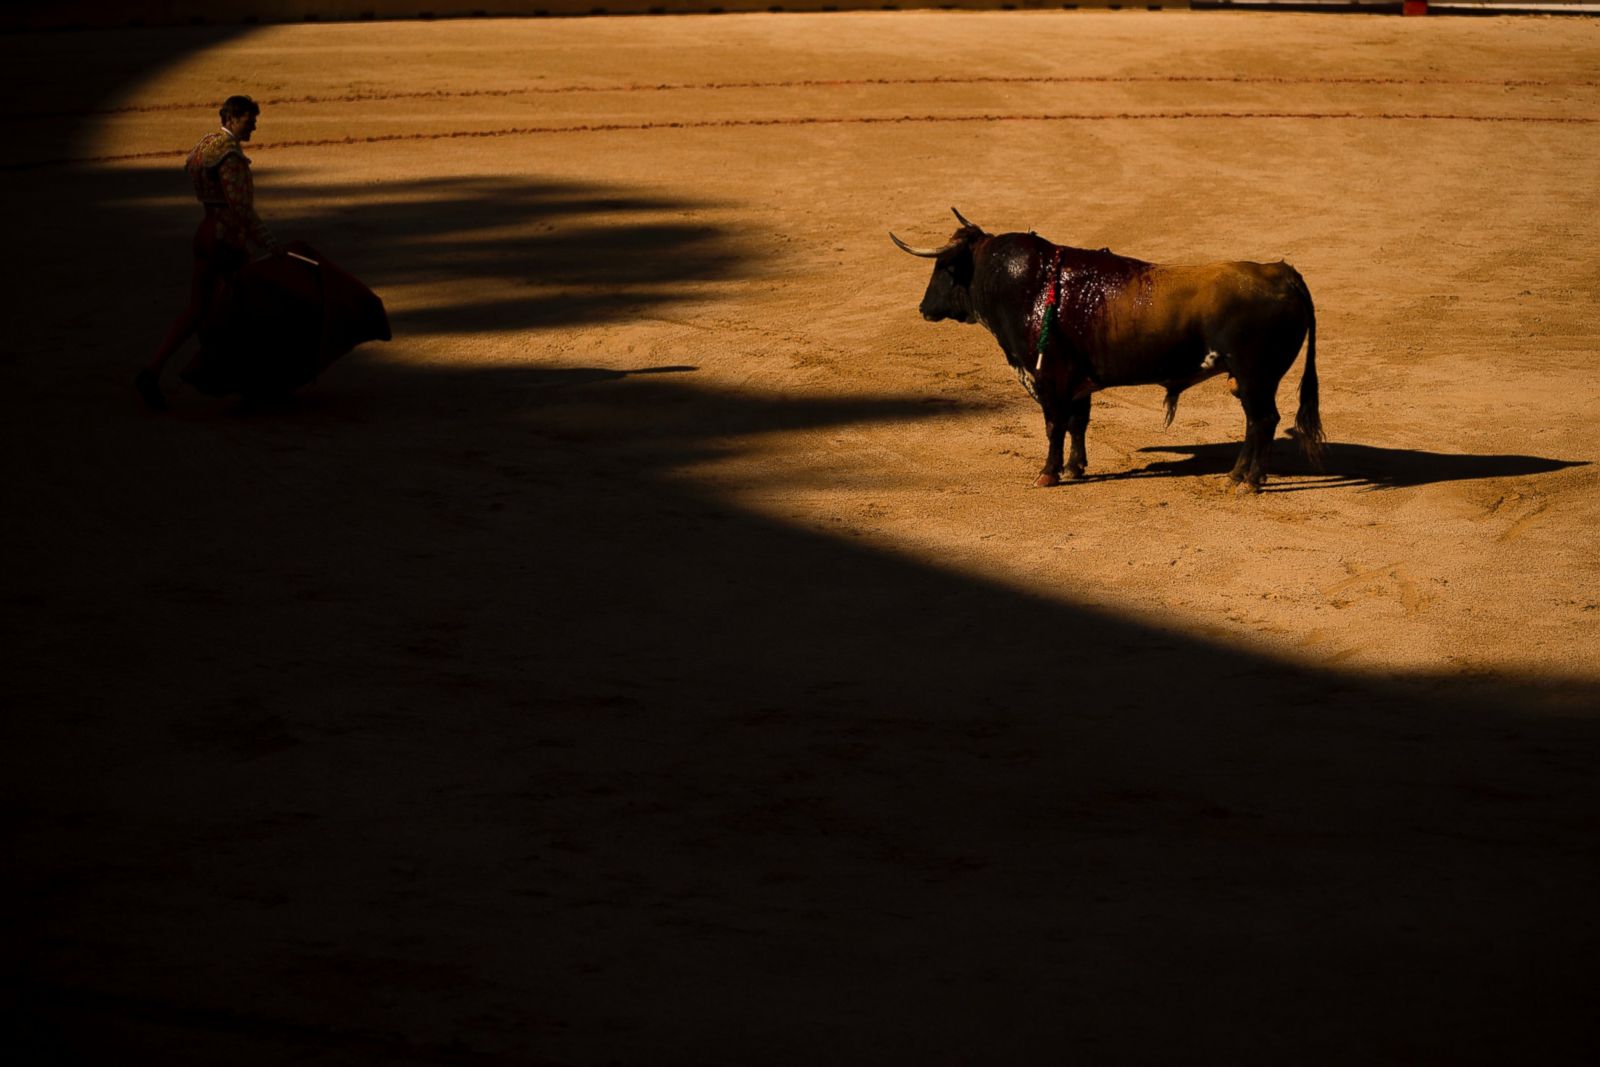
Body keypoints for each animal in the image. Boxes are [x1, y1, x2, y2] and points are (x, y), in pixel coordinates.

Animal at [889, 209, 1324, 492]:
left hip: (1255, 376)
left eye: (943, 268)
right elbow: (1078, 423)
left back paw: (1250, 482)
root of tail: (1282, 272)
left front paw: (1048, 473)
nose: (923, 308)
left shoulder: (1049, 378)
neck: (1029, 287)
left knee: (1263, 420)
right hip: (1251, 380)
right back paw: (1236, 476)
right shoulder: (1075, 382)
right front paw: (1075, 467)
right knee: (1254, 423)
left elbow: (1054, 425)